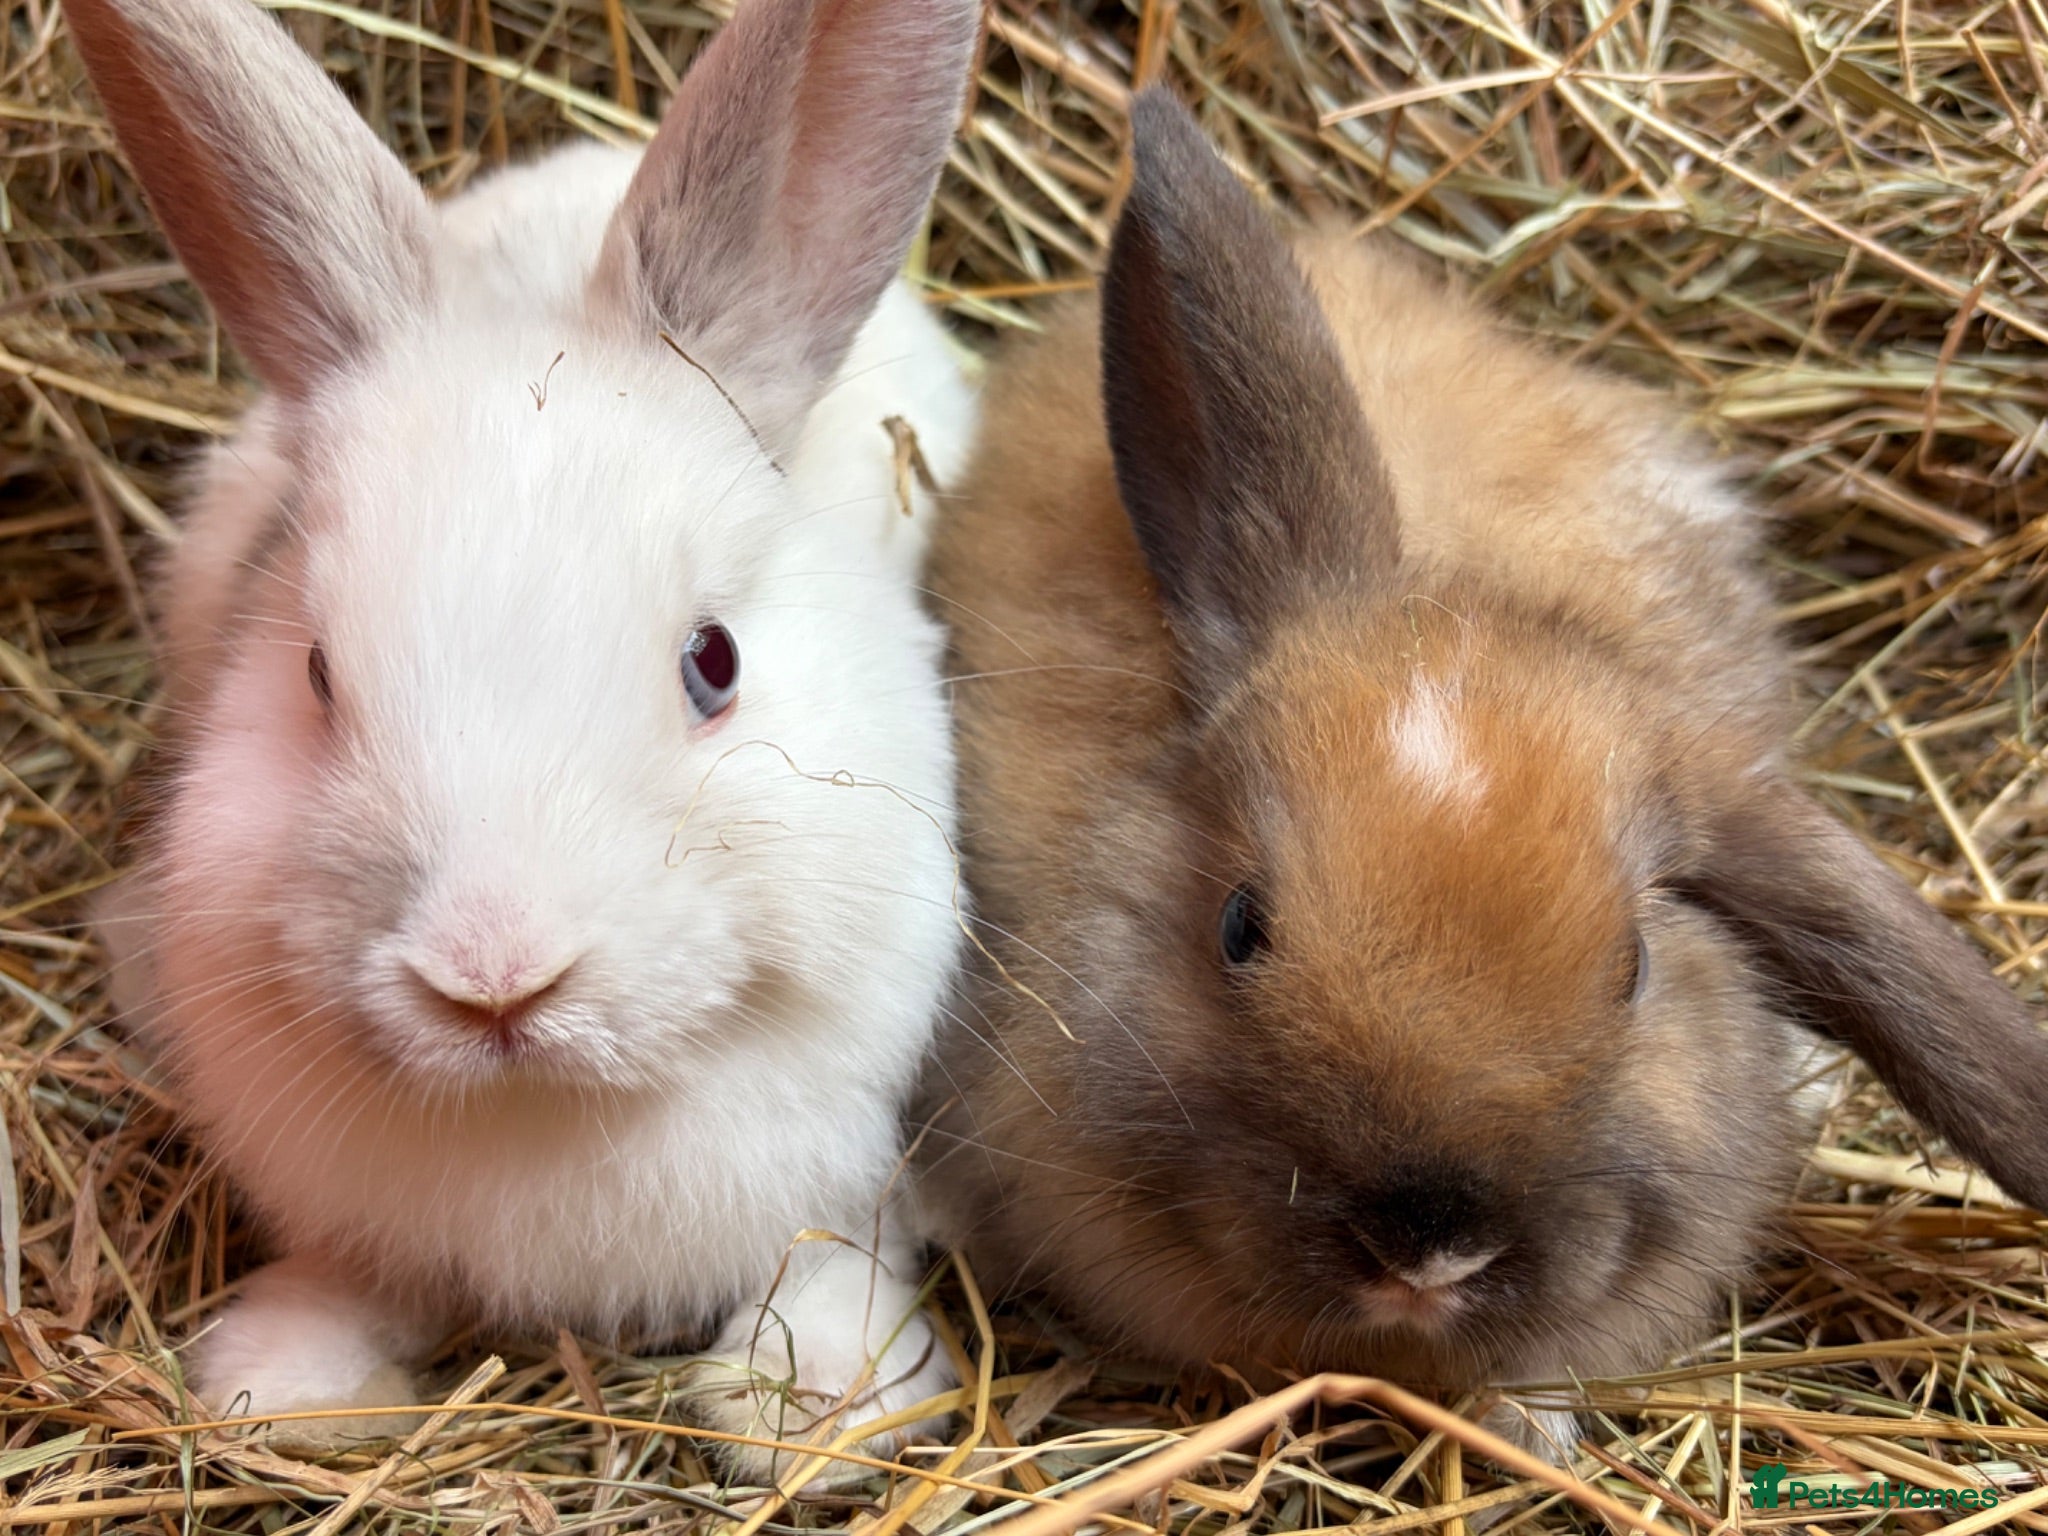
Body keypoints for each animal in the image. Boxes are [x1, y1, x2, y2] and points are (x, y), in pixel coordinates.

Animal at [72, 0, 981, 1479]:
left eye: (713, 662)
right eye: (315, 673)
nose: (493, 980)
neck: (544, 1114)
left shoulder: (861, 1161)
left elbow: (829, 1262)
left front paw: (805, 1412)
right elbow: (348, 1279)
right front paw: (284, 1382)